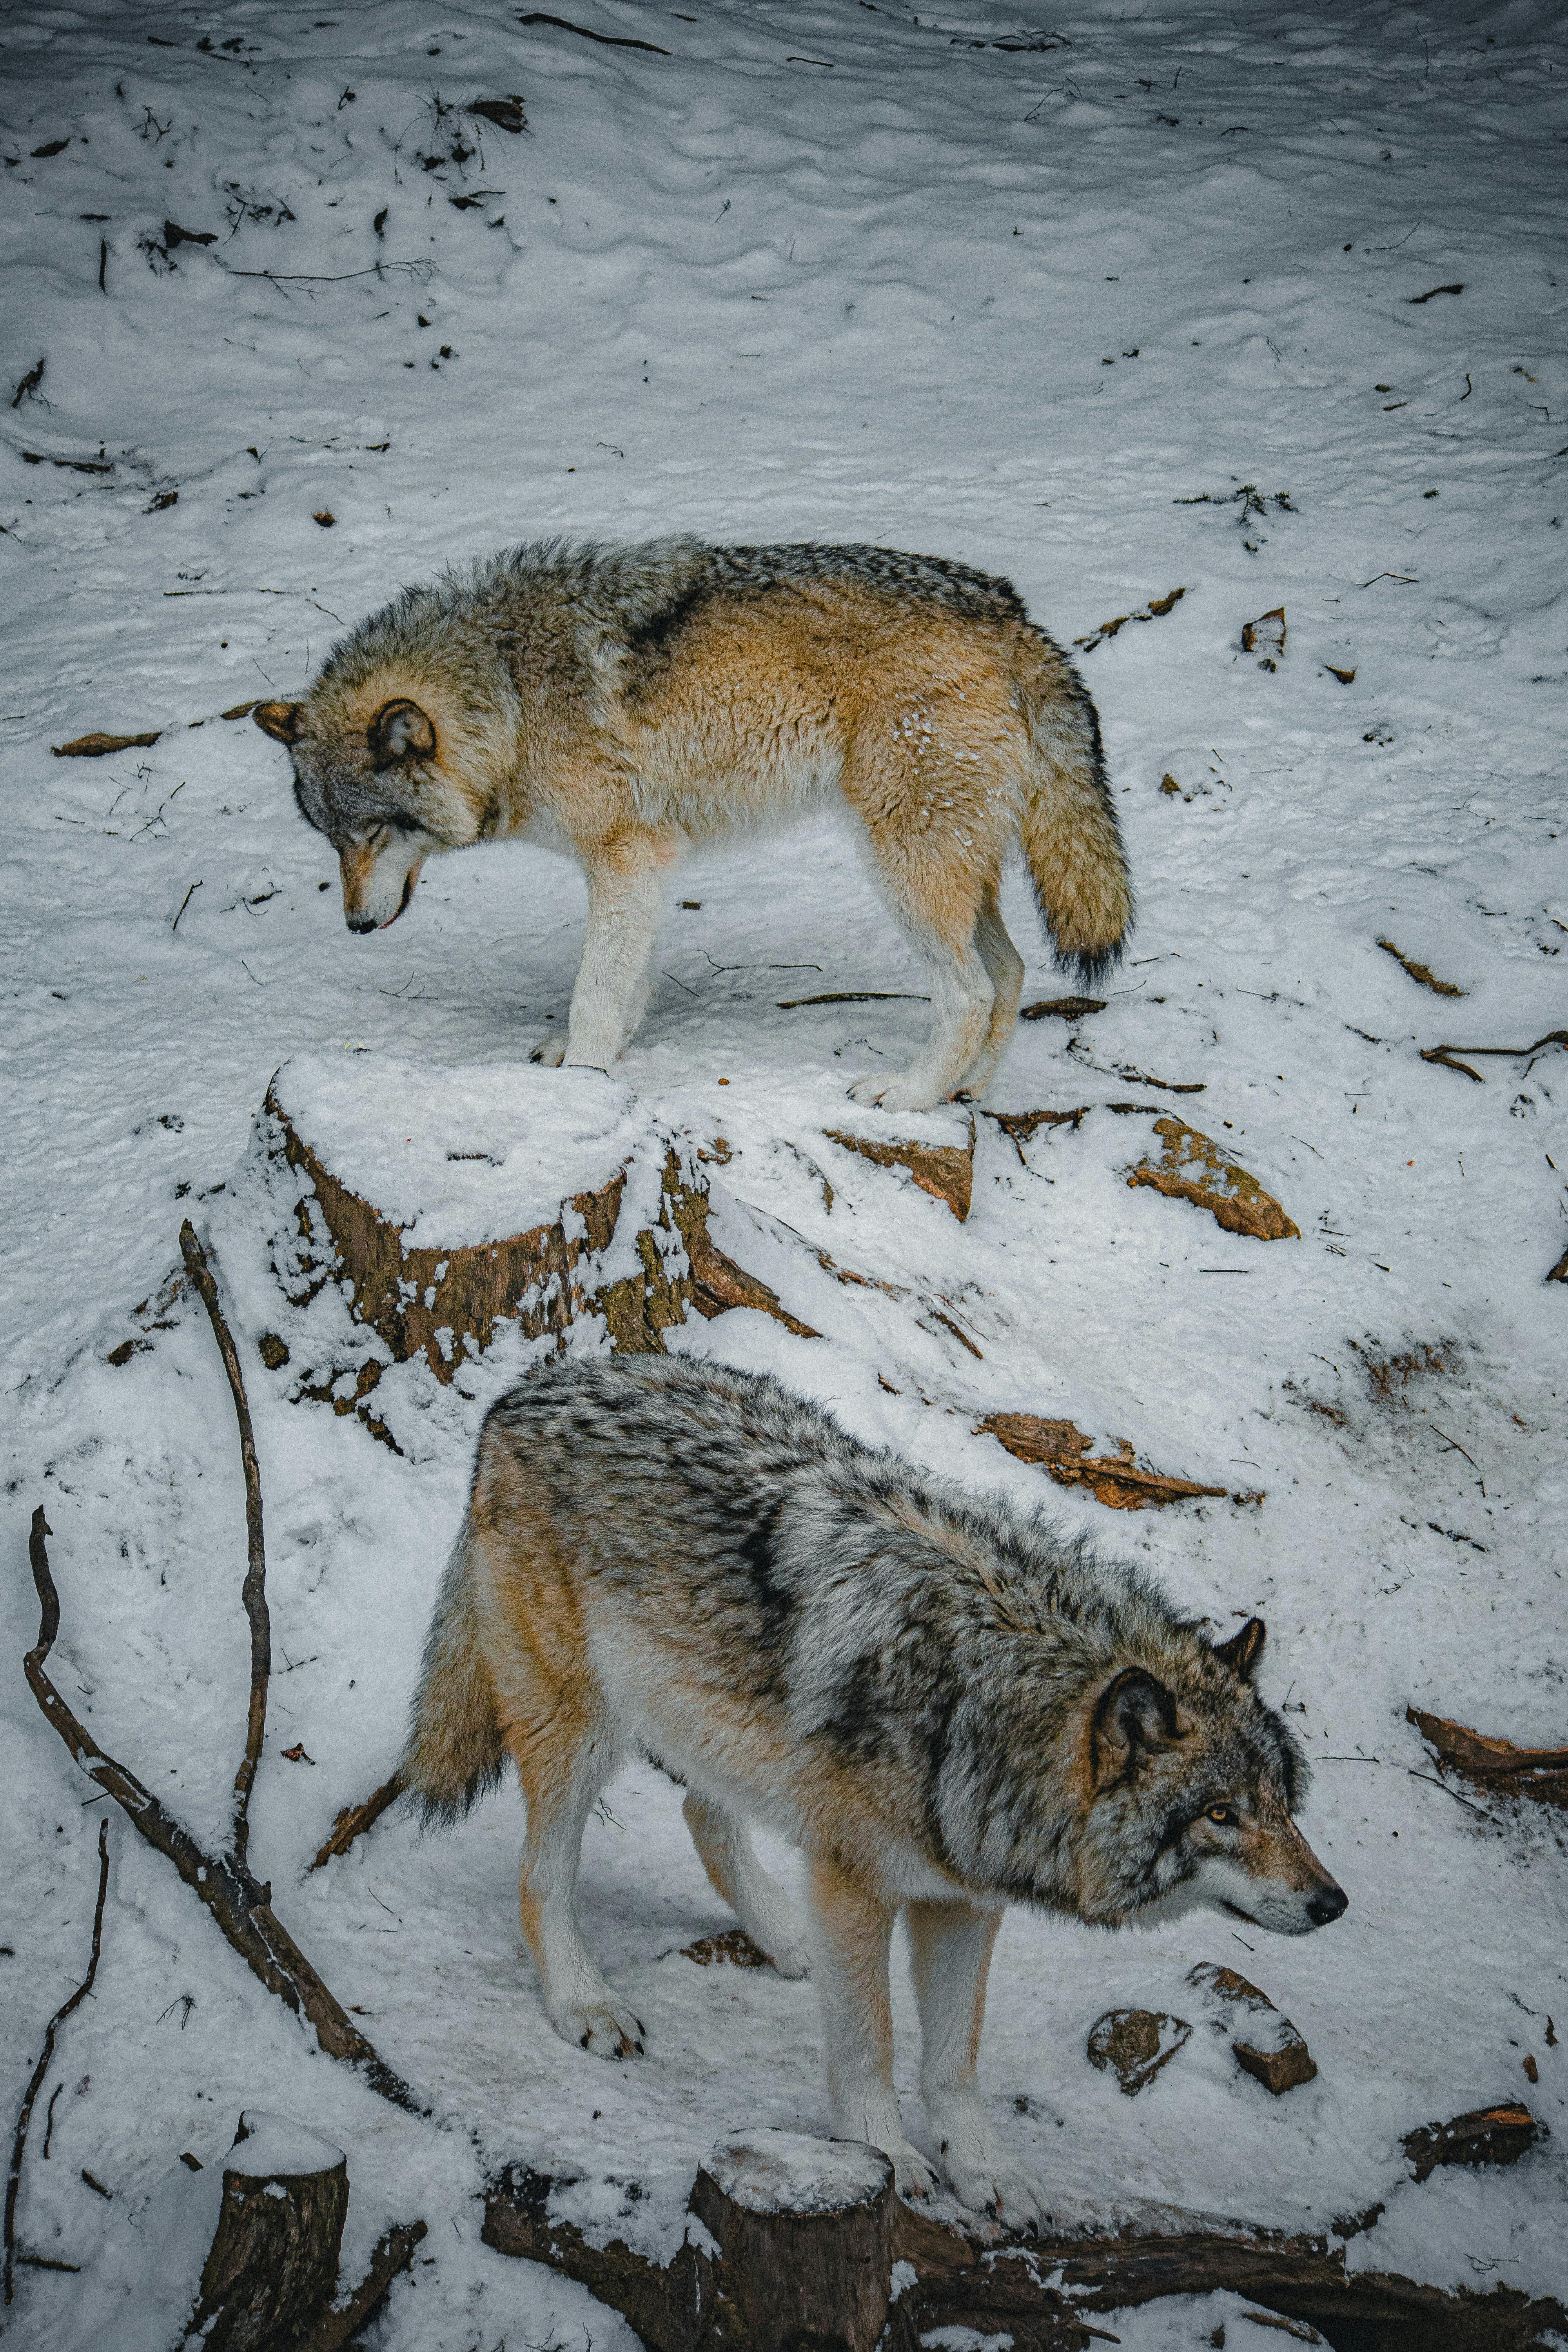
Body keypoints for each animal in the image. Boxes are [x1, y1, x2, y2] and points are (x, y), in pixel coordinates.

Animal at [252, 538, 1130, 1111]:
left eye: (373, 833)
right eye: (331, 839)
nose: (355, 926)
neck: (507, 692)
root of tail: (1011, 612)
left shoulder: (625, 857)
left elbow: (595, 993)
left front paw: (581, 1088)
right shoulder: (642, 866)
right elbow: (625, 984)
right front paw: (586, 1062)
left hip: (903, 871)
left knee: (971, 993)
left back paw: (909, 1096)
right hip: (952, 869)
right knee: (1012, 973)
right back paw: (967, 1092)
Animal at [402, 1355, 1345, 2222]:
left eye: (1281, 1806)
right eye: (1221, 1816)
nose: (1332, 1903)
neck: (979, 1704)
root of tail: (533, 1381)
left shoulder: (963, 1900)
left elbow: (955, 2058)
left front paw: (985, 2170)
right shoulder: (858, 1885)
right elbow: (873, 2044)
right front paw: (885, 2155)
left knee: (703, 1816)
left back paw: (788, 1939)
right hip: (584, 1729)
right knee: (542, 1877)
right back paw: (585, 2002)